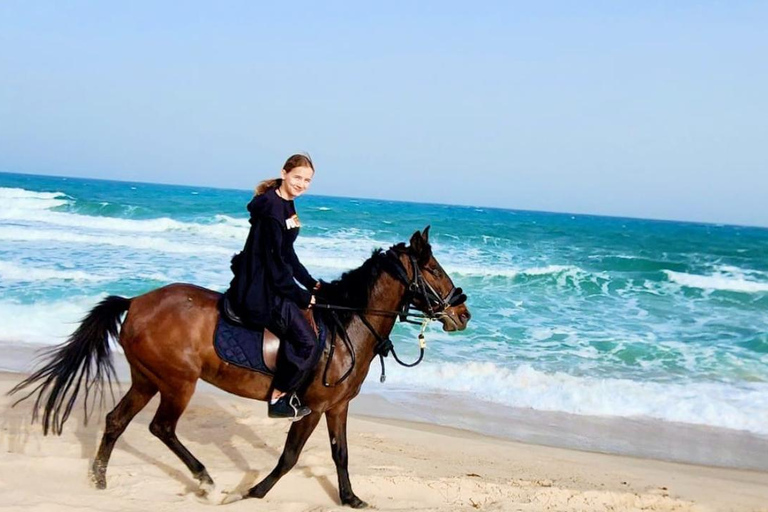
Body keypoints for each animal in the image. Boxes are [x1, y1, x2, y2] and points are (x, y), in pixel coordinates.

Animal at [9, 226, 471, 508]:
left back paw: (100, 481)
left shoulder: (337, 407)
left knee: (116, 420)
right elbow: (289, 456)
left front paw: (351, 499)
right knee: (162, 428)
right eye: (433, 269)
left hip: (146, 379)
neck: (348, 326)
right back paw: (207, 482)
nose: (463, 314)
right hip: (178, 382)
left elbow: (341, 454)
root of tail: (137, 301)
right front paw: (253, 492)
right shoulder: (312, 406)